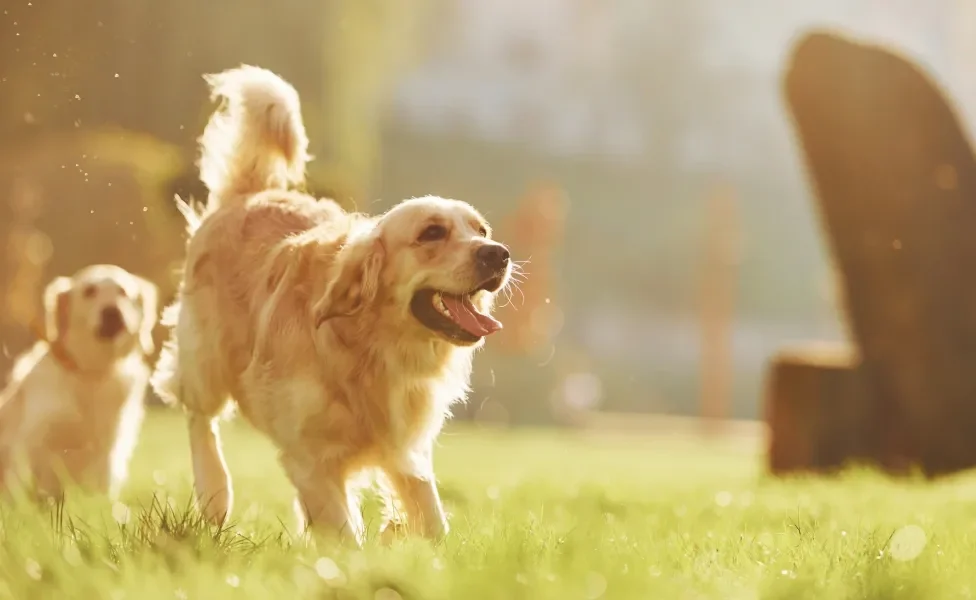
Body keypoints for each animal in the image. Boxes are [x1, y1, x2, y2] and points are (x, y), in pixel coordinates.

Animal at [0, 264, 158, 500]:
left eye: (122, 292)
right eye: (89, 292)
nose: (112, 312)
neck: (92, 373)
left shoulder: (108, 446)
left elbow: (100, 486)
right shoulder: (37, 439)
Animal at [150, 65, 516, 544]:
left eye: (481, 229)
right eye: (432, 233)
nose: (498, 254)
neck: (372, 347)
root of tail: (251, 194)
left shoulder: (405, 446)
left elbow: (430, 514)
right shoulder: (309, 455)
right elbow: (344, 531)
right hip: (206, 359)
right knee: (200, 418)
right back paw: (214, 492)